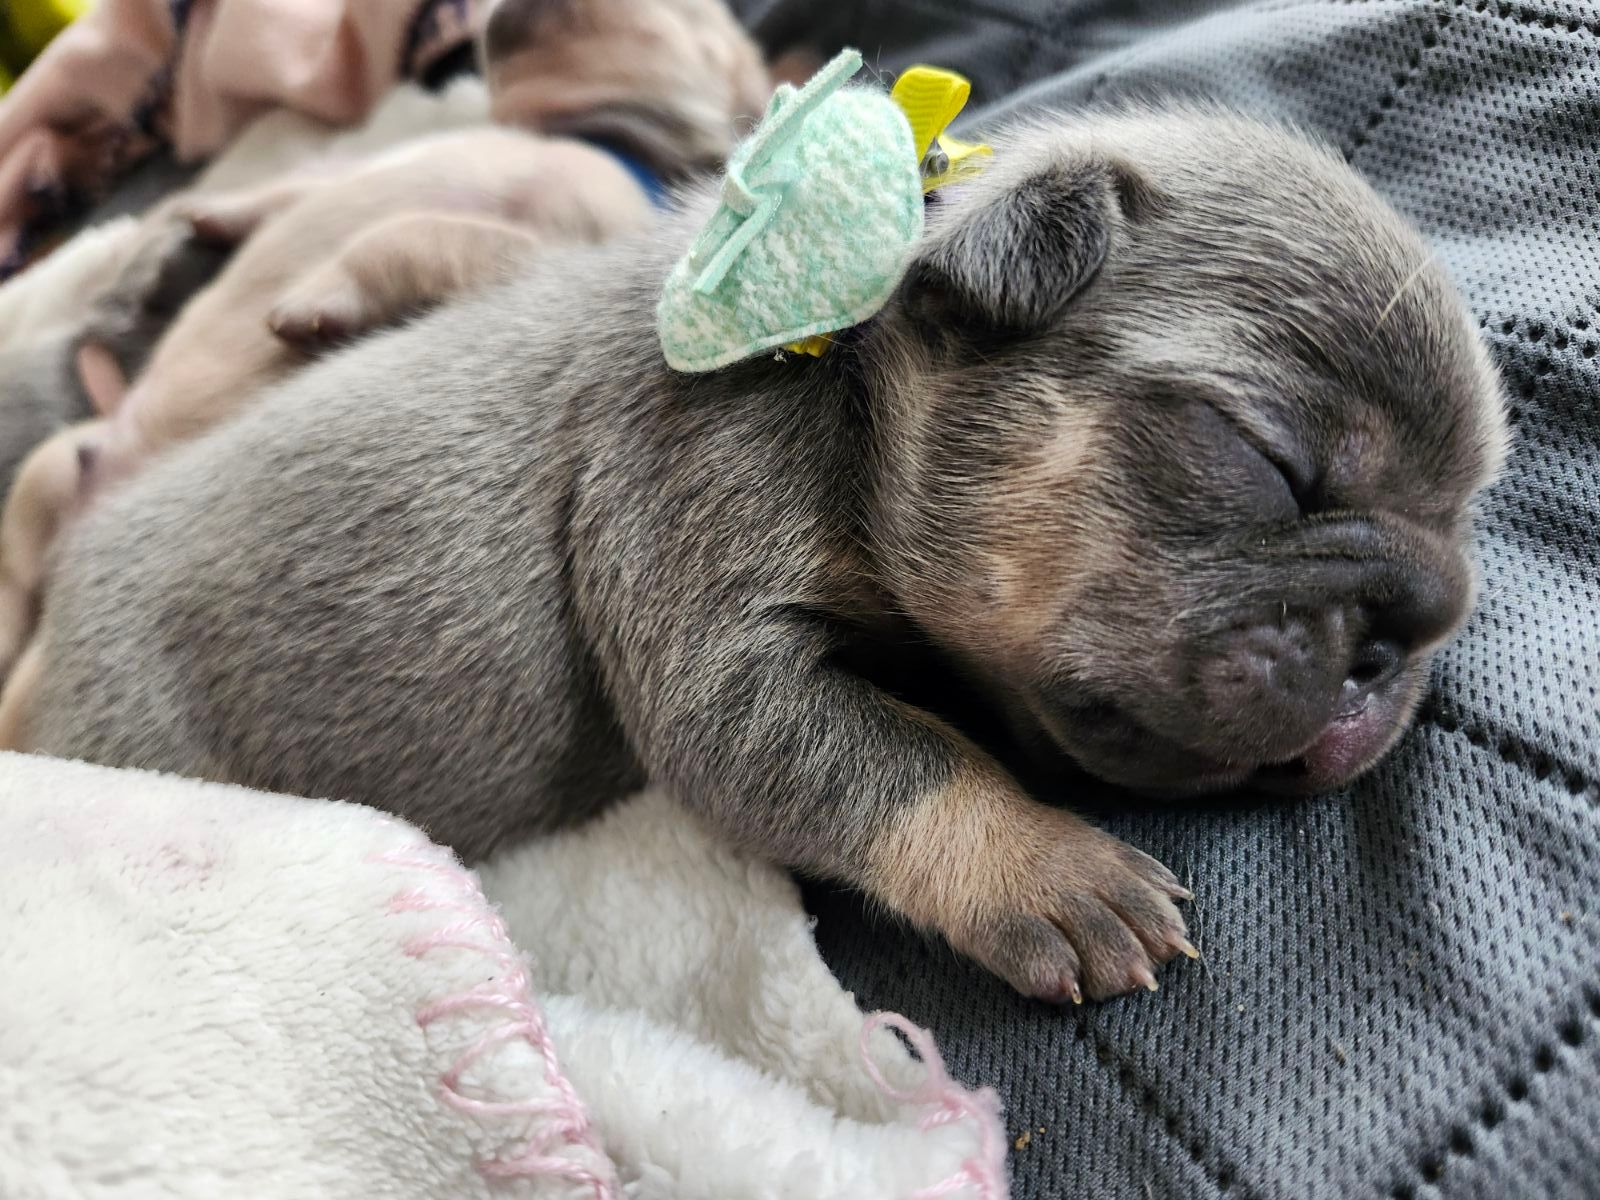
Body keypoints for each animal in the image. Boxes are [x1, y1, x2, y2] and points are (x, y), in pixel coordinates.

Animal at [15, 110, 1510, 1004]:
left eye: (1464, 543)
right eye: (1270, 461)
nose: (1412, 630)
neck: (843, 383)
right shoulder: (701, 558)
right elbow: (902, 758)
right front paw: (1053, 870)